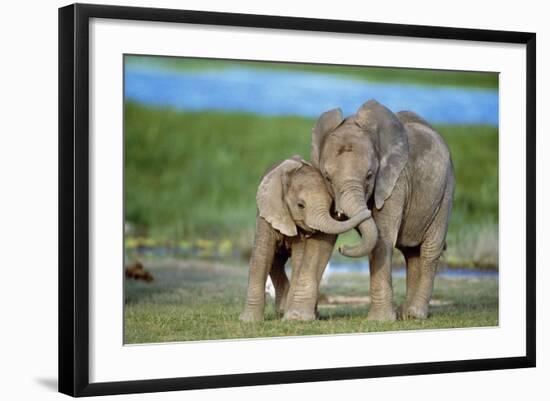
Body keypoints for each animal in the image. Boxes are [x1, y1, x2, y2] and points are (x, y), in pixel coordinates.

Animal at [242, 155, 370, 320]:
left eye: (331, 204)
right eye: (300, 205)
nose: (342, 248)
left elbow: (299, 257)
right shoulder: (268, 213)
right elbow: (262, 255)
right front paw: (249, 321)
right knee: (275, 261)